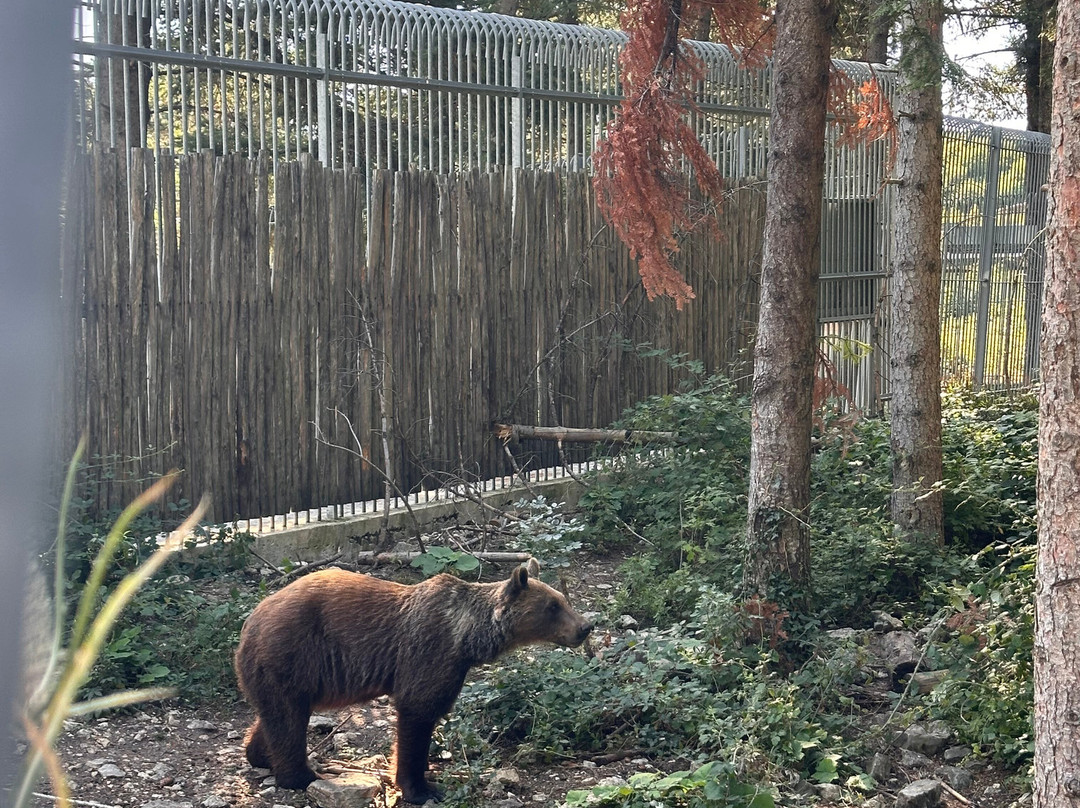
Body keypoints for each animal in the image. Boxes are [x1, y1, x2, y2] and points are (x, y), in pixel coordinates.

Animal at [234, 560, 592, 804]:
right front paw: (422, 787)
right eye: (553, 606)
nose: (585, 627)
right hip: (292, 654)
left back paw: (261, 755)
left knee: (276, 715)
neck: (468, 638)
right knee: (288, 718)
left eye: (564, 600)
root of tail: (250, 622)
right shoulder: (429, 652)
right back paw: (301, 774)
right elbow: (417, 713)